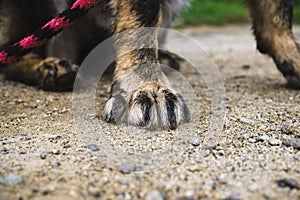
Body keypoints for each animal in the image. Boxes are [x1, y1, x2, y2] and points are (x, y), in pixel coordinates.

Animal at [0, 0, 298, 129]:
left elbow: (277, 7)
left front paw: (291, 54)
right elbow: (142, 15)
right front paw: (147, 86)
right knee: (14, 53)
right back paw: (49, 68)